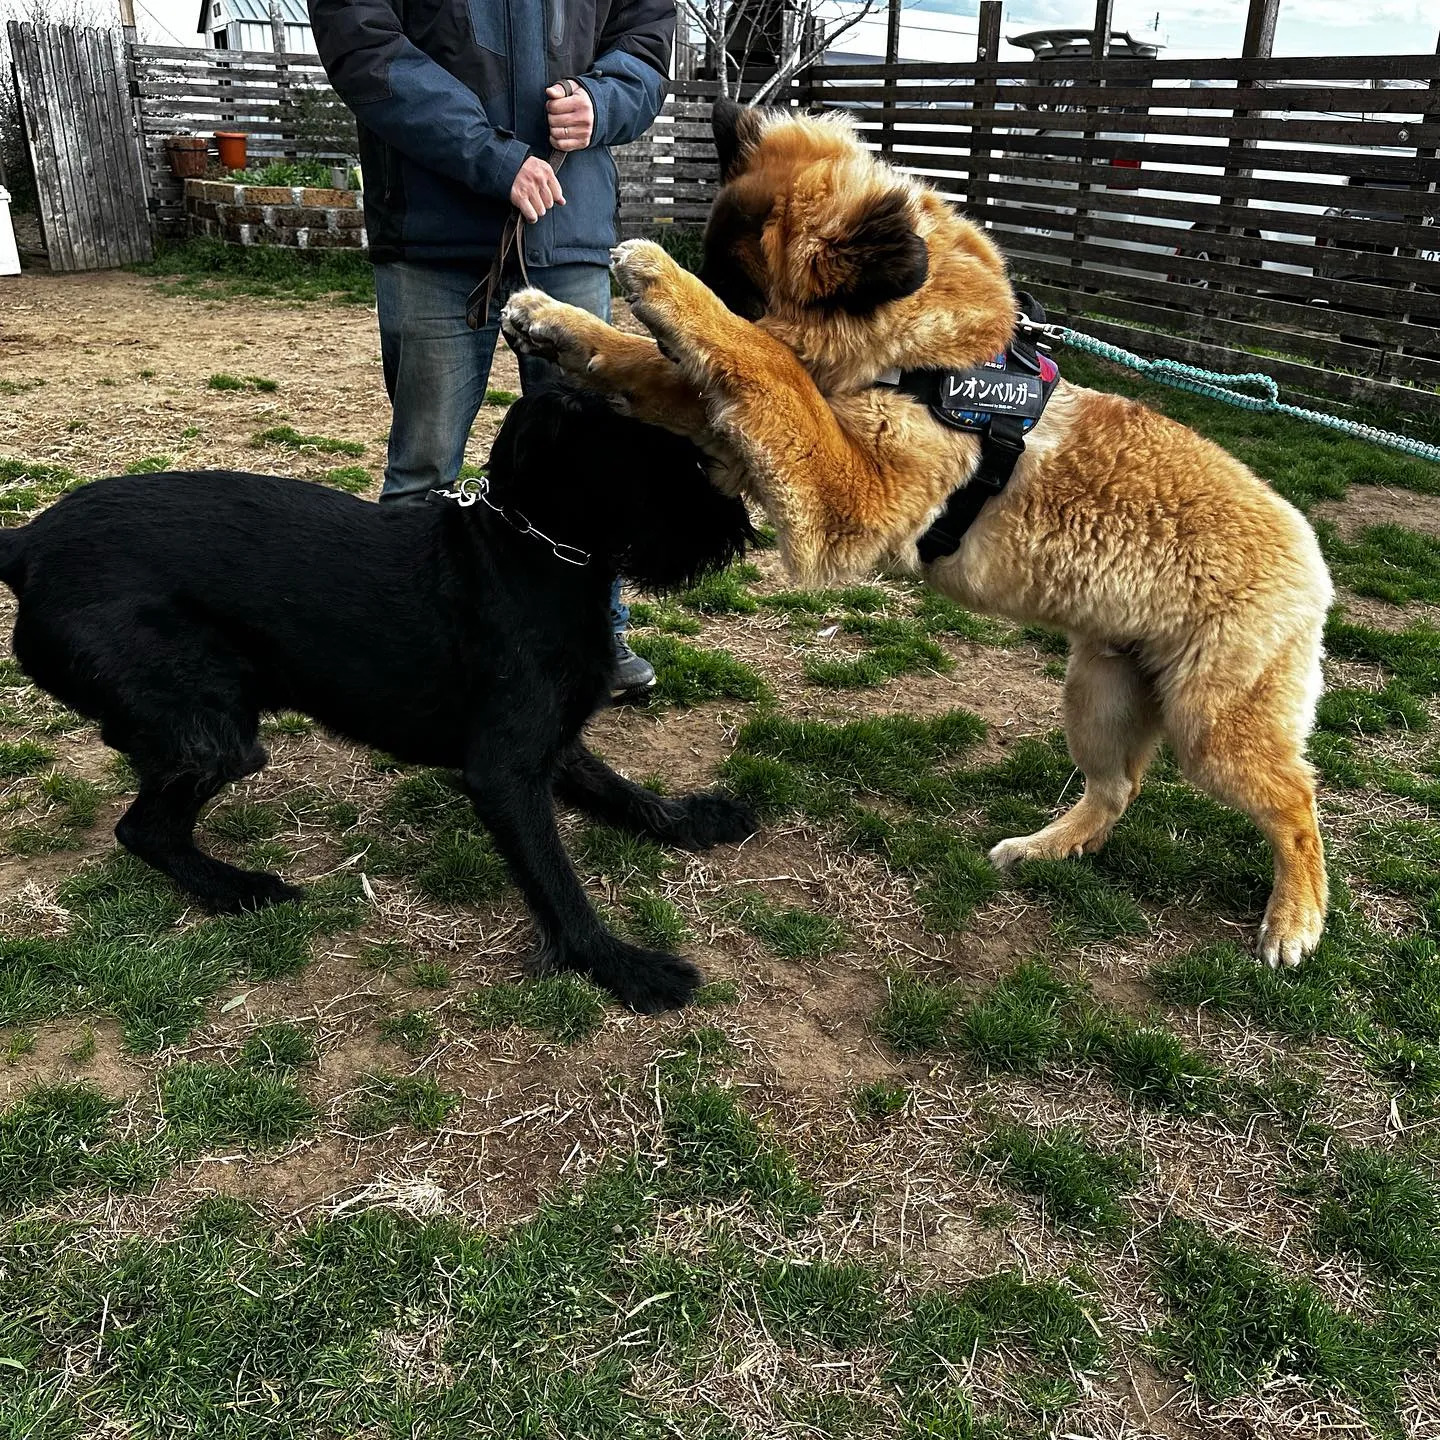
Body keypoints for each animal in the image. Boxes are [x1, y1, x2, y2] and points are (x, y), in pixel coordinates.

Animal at [0, 383, 760, 1013]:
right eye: (669, 458)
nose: (740, 531)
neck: (530, 551)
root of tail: (25, 541)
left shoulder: (555, 740)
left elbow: (620, 790)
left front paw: (692, 819)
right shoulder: (505, 772)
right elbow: (557, 880)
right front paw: (622, 965)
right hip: (219, 734)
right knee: (144, 829)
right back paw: (239, 890)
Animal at [501, 95, 1330, 961]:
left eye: (737, 290)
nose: (691, 280)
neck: (922, 355)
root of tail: (1311, 555)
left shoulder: (845, 492)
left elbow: (762, 360)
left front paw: (664, 285)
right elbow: (673, 370)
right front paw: (559, 322)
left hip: (1212, 729)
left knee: (1297, 806)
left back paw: (1295, 919)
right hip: (1100, 692)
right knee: (1118, 790)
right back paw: (1047, 848)